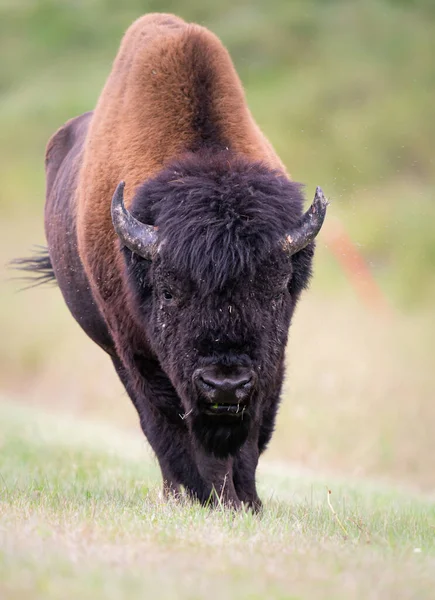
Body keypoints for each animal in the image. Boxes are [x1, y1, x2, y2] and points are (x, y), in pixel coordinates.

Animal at [18, 14, 328, 508]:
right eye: (168, 291)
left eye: (277, 289)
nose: (224, 383)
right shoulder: (138, 353)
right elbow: (170, 425)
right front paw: (203, 495)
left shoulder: (269, 362)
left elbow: (253, 431)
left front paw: (246, 502)